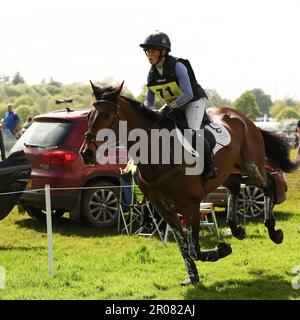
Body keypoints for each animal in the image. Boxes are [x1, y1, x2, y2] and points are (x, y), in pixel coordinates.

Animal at [79, 82, 298, 284]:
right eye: (89, 116)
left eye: (107, 115)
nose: (86, 153)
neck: (157, 154)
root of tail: (244, 118)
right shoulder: (165, 210)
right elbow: (184, 246)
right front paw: (192, 277)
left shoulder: (191, 207)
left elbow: (195, 249)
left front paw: (222, 249)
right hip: (226, 172)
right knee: (236, 185)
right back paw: (236, 229)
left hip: (250, 165)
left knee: (267, 183)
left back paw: (273, 231)